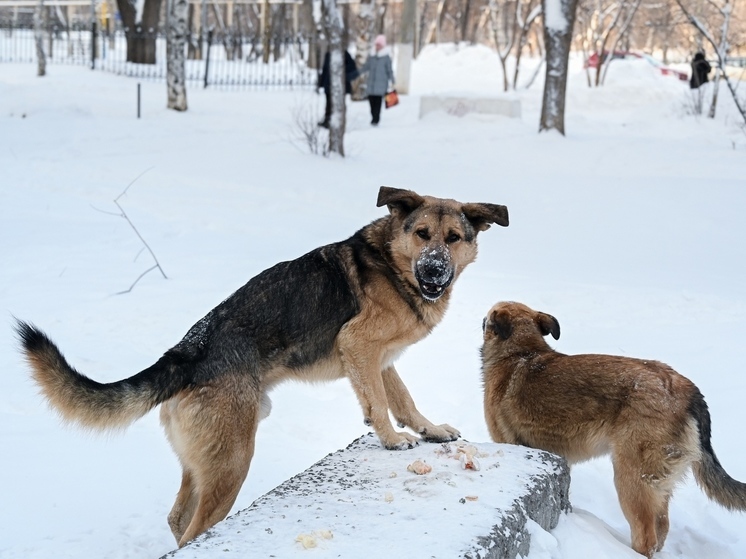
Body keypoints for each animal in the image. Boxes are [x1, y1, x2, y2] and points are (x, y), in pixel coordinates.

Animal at [14, 187, 508, 548]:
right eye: (422, 234)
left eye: (453, 238)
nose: (434, 271)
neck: (393, 264)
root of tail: (185, 353)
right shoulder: (359, 346)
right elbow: (379, 404)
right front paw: (390, 439)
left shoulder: (378, 359)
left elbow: (402, 398)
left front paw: (429, 429)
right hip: (234, 460)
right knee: (192, 530)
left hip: (208, 461)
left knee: (178, 518)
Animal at [476, 304, 744, 556]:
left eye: (488, 316)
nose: (481, 319)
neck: (520, 351)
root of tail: (688, 391)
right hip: (657, 485)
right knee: (662, 528)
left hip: (631, 479)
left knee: (646, 538)